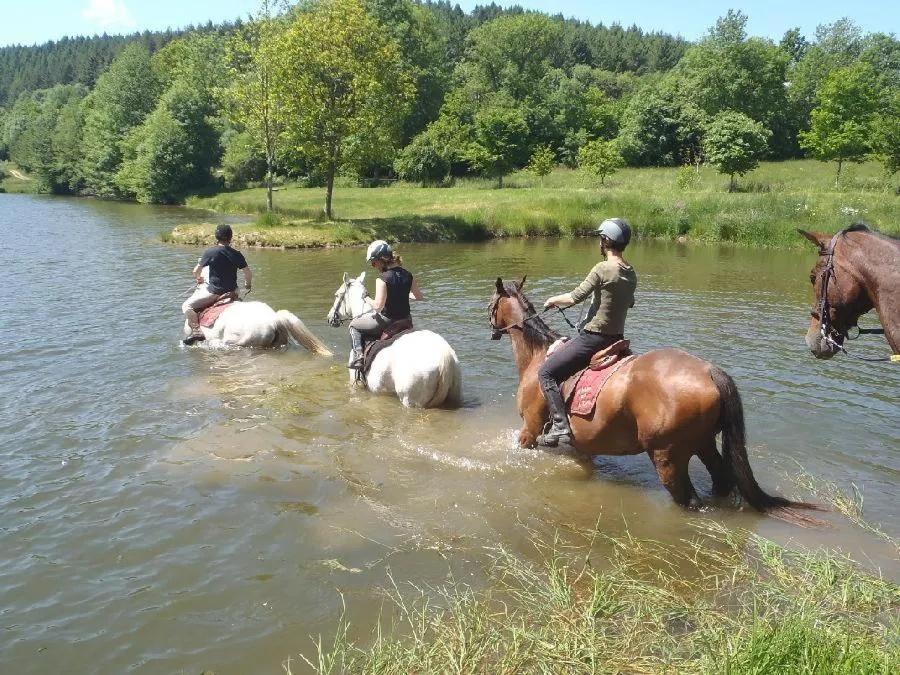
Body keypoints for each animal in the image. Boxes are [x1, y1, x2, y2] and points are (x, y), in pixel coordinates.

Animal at [489, 276, 821, 524]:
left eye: (491, 303)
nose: (491, 328)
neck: (538, 356)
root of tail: (709, 371)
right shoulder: (582, 446)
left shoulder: (529, 431)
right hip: (702, 444)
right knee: (721, 481)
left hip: (667, 457)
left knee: (689, 501)